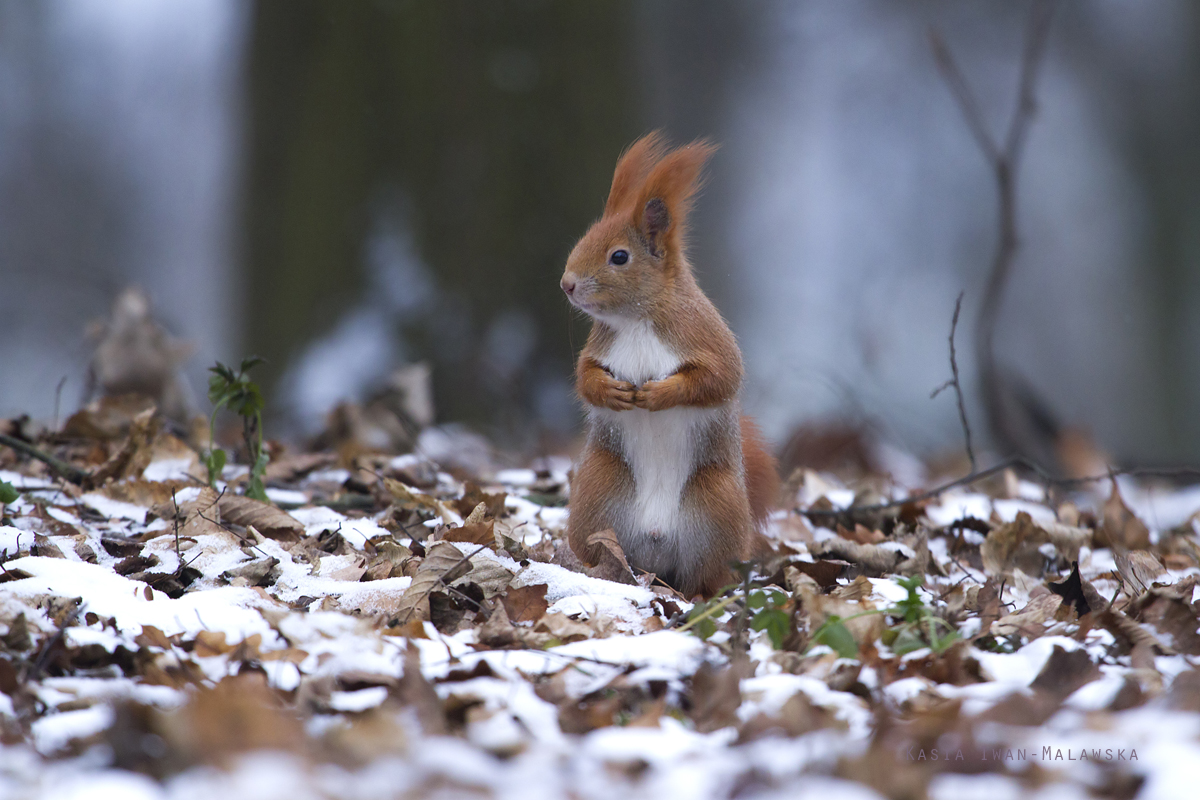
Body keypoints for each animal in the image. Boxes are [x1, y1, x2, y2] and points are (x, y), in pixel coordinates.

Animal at [559, 133, 777, 594]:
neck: (637, 319)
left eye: (619, 257)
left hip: (717, 506)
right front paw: (611, 391)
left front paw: (660, 394)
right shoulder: (598, 347)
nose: (566, 284)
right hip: (597, 490)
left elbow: (720, 378)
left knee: (706, 575)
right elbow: (585, 378)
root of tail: (657, 546)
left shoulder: (704, 336)